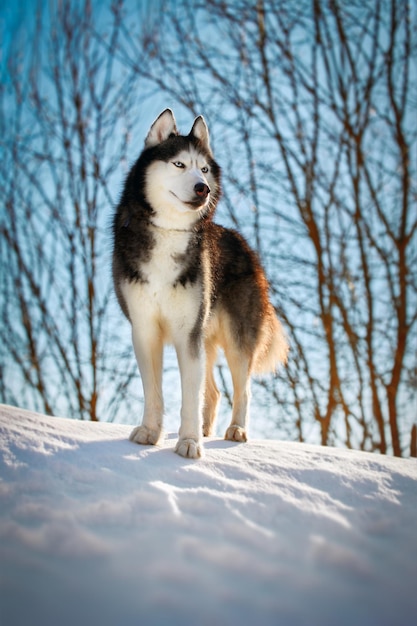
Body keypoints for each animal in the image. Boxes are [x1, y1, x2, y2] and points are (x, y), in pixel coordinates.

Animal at [112, 109, 286, 456]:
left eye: (204, 169)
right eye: (179, 164)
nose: (202, 188)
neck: (169, 232)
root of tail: (246, 246)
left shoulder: (186, 333)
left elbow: (189, 397)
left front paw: (189, 442)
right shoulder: (145, 329)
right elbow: (154, 392)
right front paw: (150, 432)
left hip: (235, 341)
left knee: (242, 390)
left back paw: (235, 430)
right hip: (205, 339)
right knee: (215, 391)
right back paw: (207, 429)